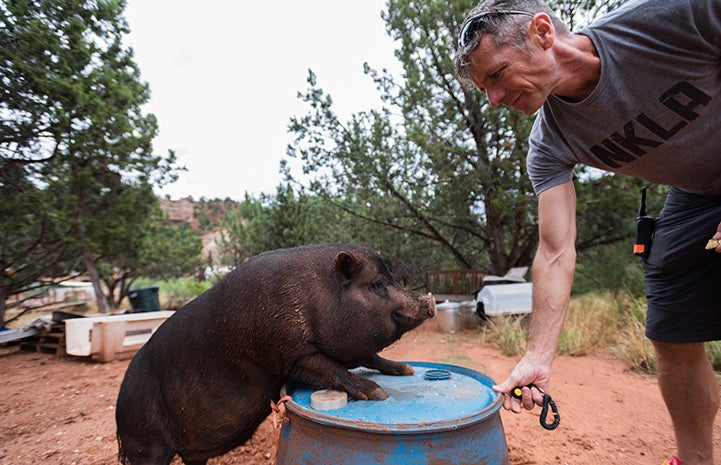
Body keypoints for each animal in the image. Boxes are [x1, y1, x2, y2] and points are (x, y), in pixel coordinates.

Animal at [115, 245, 436, 462]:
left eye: (392, 279)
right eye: (378, 284)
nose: (429, 302)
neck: (318, 297)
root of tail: (119, 413)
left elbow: (372, 357)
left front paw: (406, 369)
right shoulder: (289, 355)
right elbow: (332, 369)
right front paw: (379, 393)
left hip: (189, 451)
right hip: (147, 446)